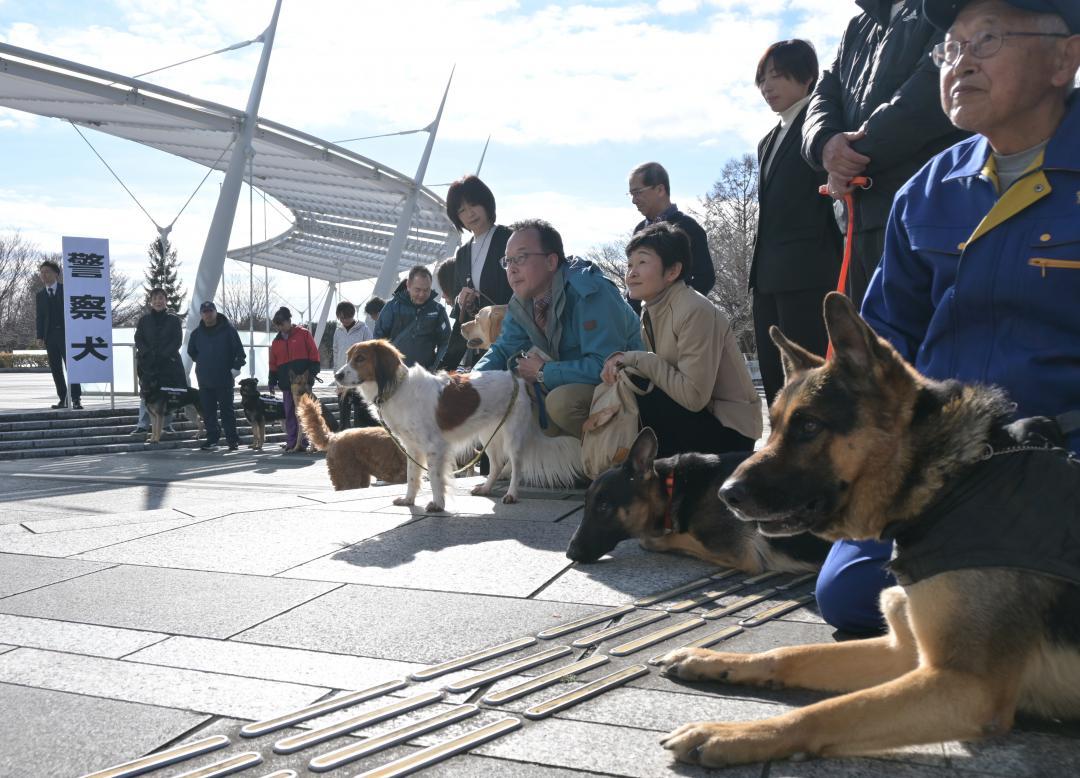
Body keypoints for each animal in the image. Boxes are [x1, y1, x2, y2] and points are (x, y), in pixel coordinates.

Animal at [334, 339, 583, 510]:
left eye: (360, 358)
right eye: (348, 357)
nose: (336, 375)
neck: (399, 388)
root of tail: (518, 379)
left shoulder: (435, 447)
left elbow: (435, 478)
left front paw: (437, 504)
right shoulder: (412, 448)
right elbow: (413, 476)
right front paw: (409, 500)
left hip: (513, 436)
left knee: (516, 466)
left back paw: (511, 494)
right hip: (488, 435)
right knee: (496, 464)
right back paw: (486, 488)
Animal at [565, 427, 825, 574]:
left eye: (603, 506)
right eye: (585, 505)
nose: (569, 554)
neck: (672, 488)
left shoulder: (740, 553)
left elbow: (654, 539)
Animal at [648, 293, 1080, 769]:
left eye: (809, 426)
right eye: (773, 425)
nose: (725, 494)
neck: (945, 484)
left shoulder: (967, 686)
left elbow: (829, 711)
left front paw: (733, 733)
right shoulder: (903, 651)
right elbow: (791, 654)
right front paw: (712, 659)